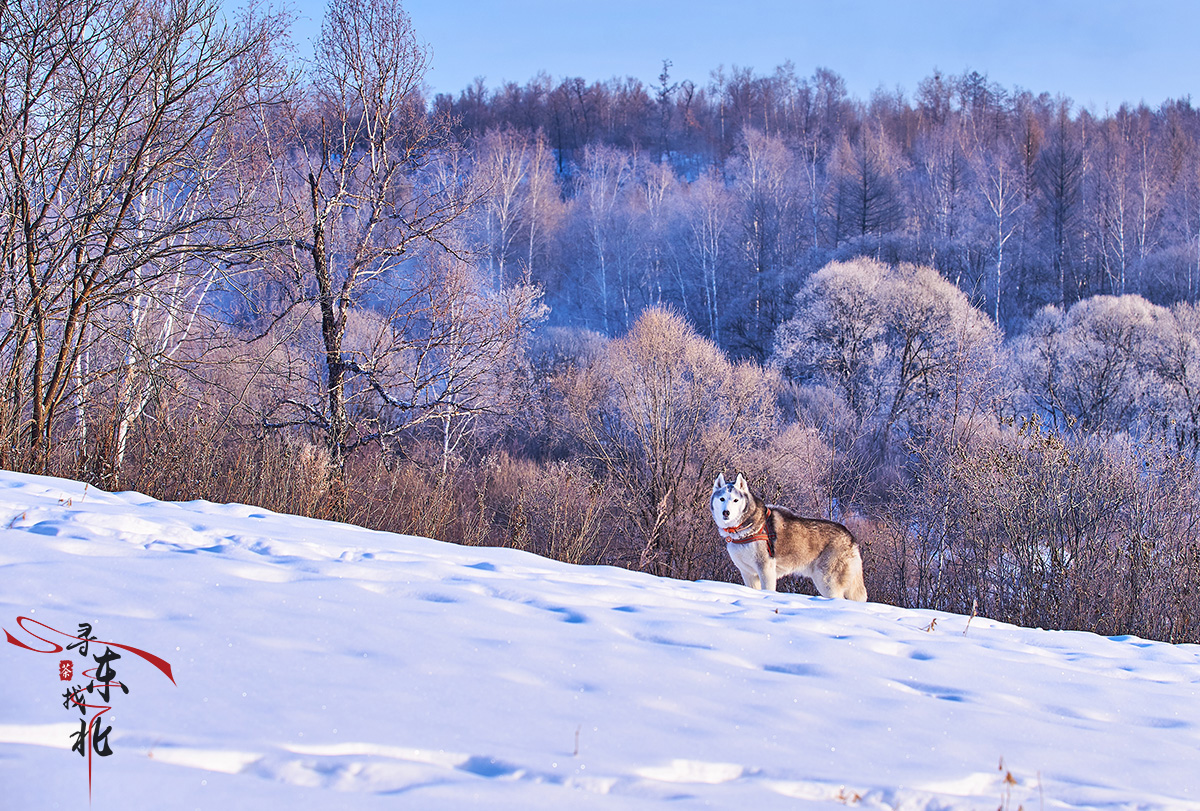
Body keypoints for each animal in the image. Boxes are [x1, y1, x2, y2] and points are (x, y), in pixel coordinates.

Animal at [705, 472, 868, 599]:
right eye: (722, 499)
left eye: (735, 500)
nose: (726, 512)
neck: (744, 527)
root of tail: (851, 537)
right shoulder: (748, 573)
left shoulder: (766, 569)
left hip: (827, 581)